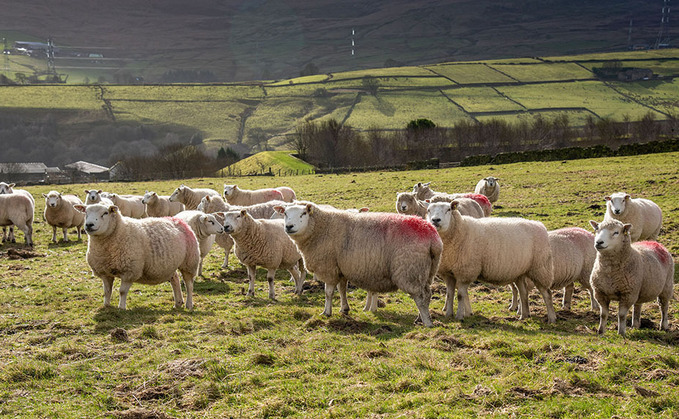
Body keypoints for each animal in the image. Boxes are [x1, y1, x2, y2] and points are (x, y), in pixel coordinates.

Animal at [428, 202, 556, 324]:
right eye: (428, 210)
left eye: (448, 209)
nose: (435, 220)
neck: (459, 230)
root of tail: (539, 225)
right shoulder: (448, 273)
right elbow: (449, 294)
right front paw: (448, 314)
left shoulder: (465, 272)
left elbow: (460, 296)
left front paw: (459, 316)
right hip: (520, 272)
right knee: (523, 292)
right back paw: (524, 316)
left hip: (540, 268)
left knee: (547, 293)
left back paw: (551, 318)